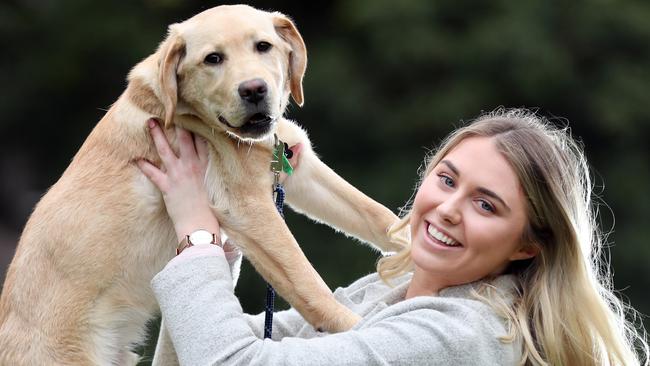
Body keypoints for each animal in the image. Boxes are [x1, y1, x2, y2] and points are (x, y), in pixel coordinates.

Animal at [0, 3, 404, 366]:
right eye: (213, 59)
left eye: (263, 46)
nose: (254, 90)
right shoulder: (249, 209)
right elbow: (308, 281)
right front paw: (356, 325)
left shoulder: (302, 172)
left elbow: (377, 217)